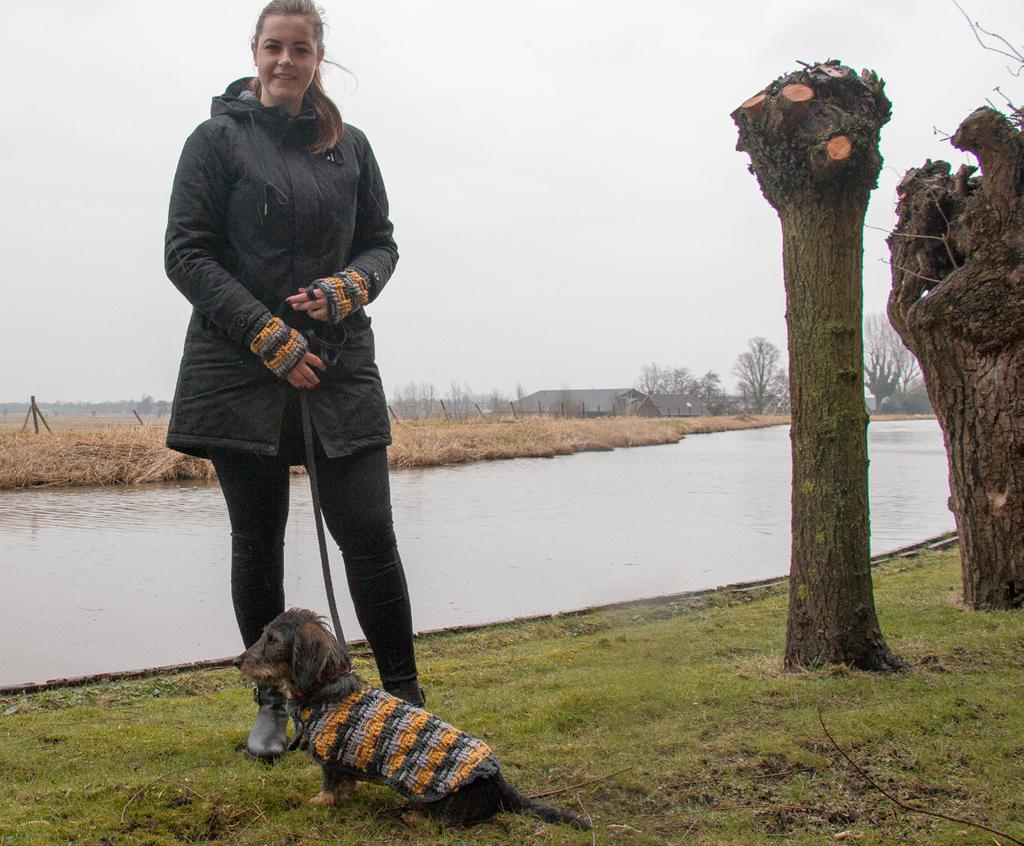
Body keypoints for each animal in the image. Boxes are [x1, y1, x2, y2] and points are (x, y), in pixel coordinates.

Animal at [235, 606, 593, 831]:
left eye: (273, 640)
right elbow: (345, 785)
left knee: (446, 822)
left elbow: (331, 787)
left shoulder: (331, 758)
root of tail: (497, 781)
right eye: (263, 635)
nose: (238, 660)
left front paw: (320, 802)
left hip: (437, 800)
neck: (325, 687)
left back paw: (414, 817)